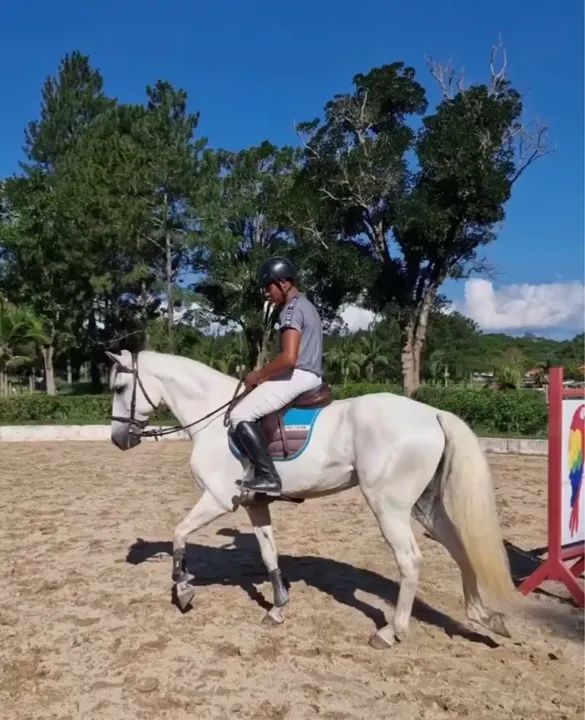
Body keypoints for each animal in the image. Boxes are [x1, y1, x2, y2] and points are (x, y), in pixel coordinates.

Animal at [106, 348, 516, 648]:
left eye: (120, 388)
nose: (118, 440)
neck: (214, 418)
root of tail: (432, 413)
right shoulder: (255, 504)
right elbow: (268, 553)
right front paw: (278, 608)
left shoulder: (219, 500)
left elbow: (179, 533)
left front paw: (183, 588)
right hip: (424, 507)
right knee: (459, 547)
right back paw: (482, 616)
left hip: (389, 506)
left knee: (410, 561)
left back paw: (391, 632)